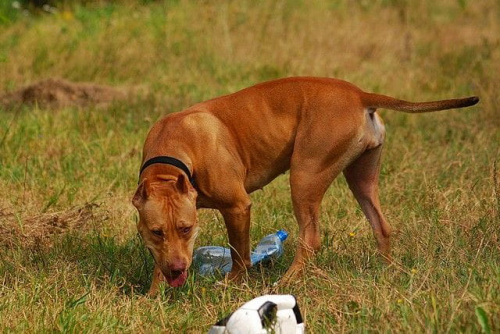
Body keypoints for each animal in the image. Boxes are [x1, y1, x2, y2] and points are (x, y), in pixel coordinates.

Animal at [132, 76, 476, 294]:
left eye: (187, 228)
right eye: (156, 232)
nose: (178, 270)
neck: (174, 153)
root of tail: (359, 95)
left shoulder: (237, 207)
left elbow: (239, 253)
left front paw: (232, 283)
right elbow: (159, 262)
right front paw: (153, 294)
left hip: (304, 176)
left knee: (310, 238)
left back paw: (286, 283)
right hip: (361, 179)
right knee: (381, 225)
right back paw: (386, 271)